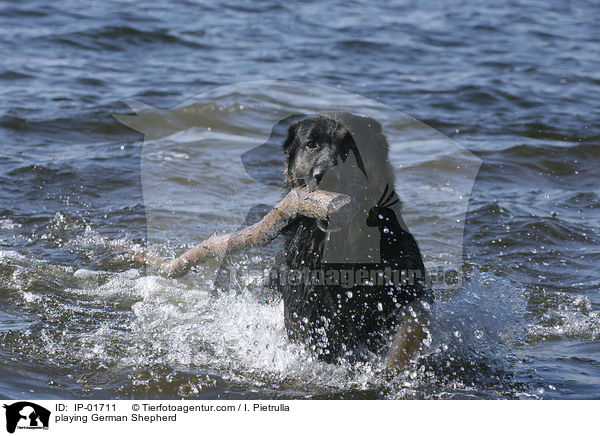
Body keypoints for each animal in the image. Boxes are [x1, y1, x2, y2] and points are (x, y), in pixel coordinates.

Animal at [272, 111, 432, 368]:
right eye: (311, 144)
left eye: (352, 146)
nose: (327, 177)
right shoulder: (305, 309)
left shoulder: (407, 291)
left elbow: (408, 331)